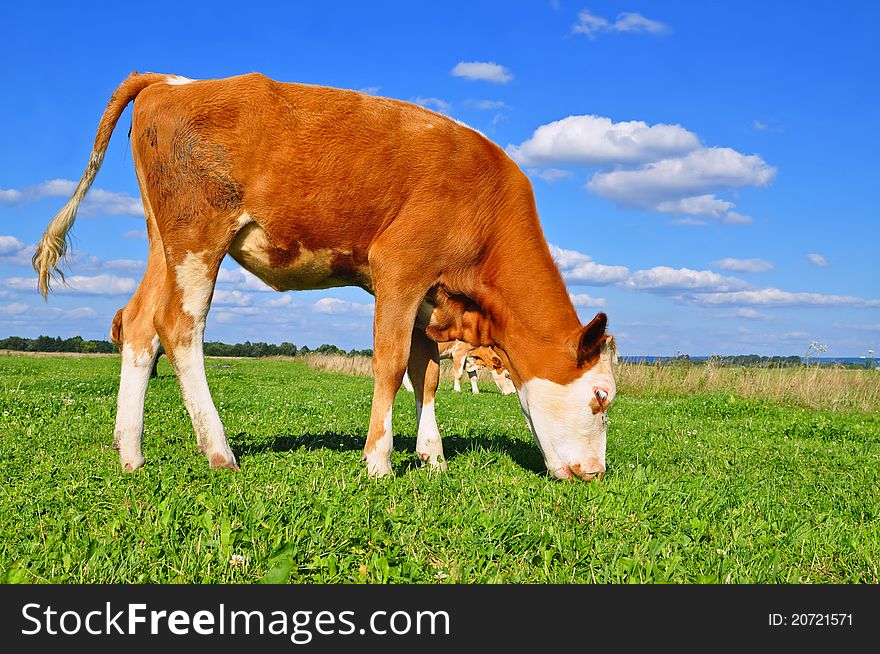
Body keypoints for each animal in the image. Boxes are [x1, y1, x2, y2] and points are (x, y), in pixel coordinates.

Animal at [34, 72, 620, 484]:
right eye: (601, 397)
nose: (595, 474)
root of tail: (171, 81)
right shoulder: (399, 266)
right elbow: (390, 366)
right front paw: (379, 461)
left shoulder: (429, 297)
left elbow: (426, 374)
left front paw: (432, 458)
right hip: (199, 236)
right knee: (179, 327)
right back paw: (219, 451)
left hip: (165, 242)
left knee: (137, 322)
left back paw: (130, 453)